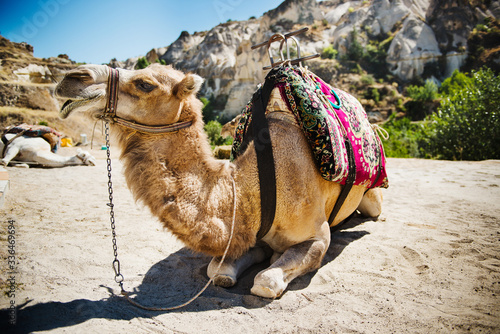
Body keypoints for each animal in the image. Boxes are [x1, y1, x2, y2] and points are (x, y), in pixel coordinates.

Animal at [53, 64, 382, 298]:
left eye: (145, 83)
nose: (71, 77)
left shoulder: (317, 236)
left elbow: (265, 281)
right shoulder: (244, 231)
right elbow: (218, 271)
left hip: (373, 195)